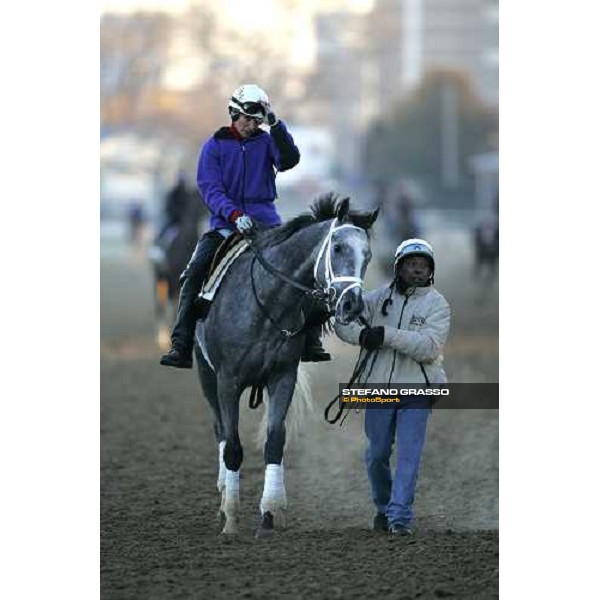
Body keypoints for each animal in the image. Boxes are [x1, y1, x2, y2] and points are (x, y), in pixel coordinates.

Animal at [195, 195, 378, 536]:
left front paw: (268, 514)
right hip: (206, 375)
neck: (265, 302)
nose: (352, 305)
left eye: (368, 255)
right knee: (221, 432)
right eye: (337, 247)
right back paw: (224, 497)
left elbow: (275, 442)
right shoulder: (228, 381)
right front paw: (231, 519)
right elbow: (233, 446)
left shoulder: (282, 377)